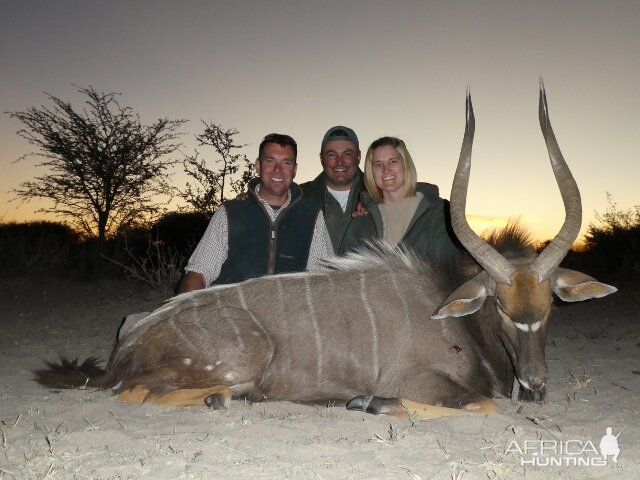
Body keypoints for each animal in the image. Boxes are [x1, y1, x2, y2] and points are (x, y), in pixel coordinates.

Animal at [35, 83, 616, 420]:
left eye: (551, 304)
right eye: (498, 305)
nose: (535, 385)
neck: (456, 318)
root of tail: (126, 346)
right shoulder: (421, 382)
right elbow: (480, 405)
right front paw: (369, 401)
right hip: (237, 360)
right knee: (136, 393)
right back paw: (224, 398)